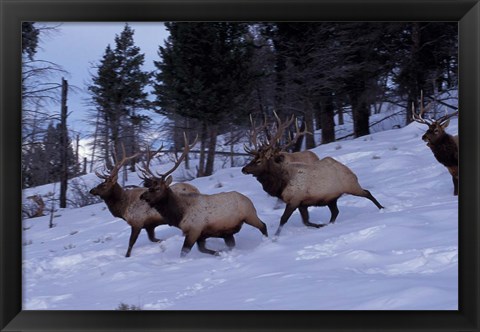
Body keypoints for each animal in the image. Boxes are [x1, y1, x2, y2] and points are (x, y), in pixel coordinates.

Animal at [139, 134, 268, 256]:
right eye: (149, 187)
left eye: (157, 188)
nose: (142, 196)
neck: (179, 215)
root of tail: (248, 199)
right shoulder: (201, 235)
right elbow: (202, 249)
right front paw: (218, 252)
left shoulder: (194, 230)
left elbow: (184, 252)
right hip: (228, 232)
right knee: (232, 243)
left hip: (250, 215)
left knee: (263, 226)